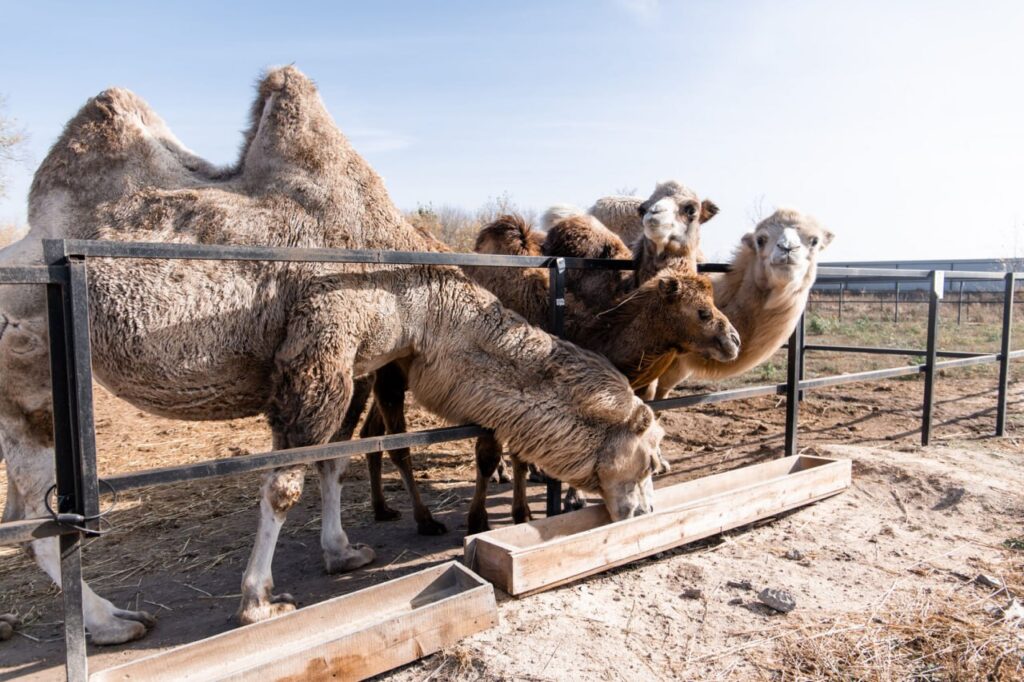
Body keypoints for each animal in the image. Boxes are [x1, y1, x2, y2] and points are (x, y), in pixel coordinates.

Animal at [0, 66, 663, 638]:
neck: (422, 301)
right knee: (42, 517)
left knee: (26, 515)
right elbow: (284, 484)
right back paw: (111, 622)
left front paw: (342, 552)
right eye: (653, 459)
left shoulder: (355, 367)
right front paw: (258, 603)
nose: (642, 513)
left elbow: (334, 462)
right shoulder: (319, 350)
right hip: (29, 371)